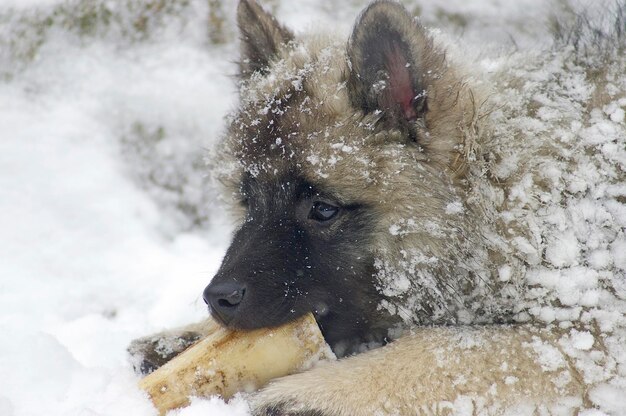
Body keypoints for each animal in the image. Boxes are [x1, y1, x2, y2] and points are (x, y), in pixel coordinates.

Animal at [128, 1, 624, 414]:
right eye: (248, 201)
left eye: (323, 209)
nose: (218, 298)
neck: (498, 194)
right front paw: (188, 340)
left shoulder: (595, 336)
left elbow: (449, 347)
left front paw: (318, 393)